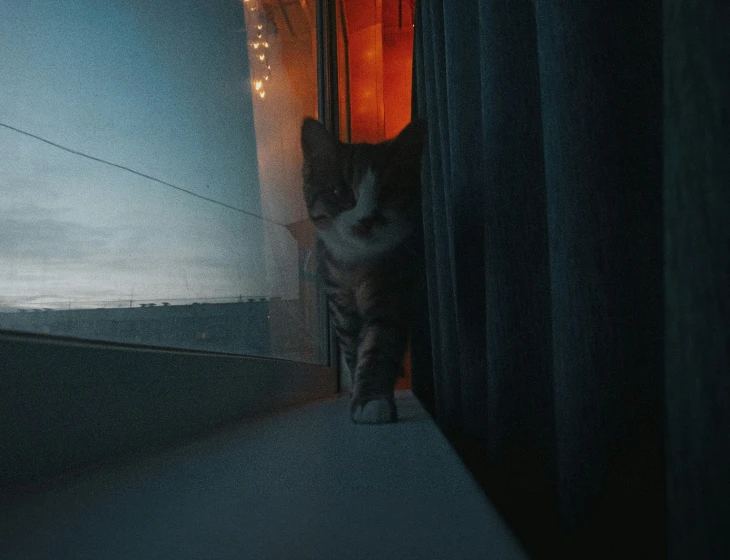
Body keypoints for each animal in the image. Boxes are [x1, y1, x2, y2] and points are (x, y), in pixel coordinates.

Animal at [300, 119, 426, 424]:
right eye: (340, 192)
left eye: (390, 191)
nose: (367, 219)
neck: (357, 265)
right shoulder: (339, 300)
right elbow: (352, 346)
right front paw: (358, 390)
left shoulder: (394, 290)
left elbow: (378, 345)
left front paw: (372, 399)